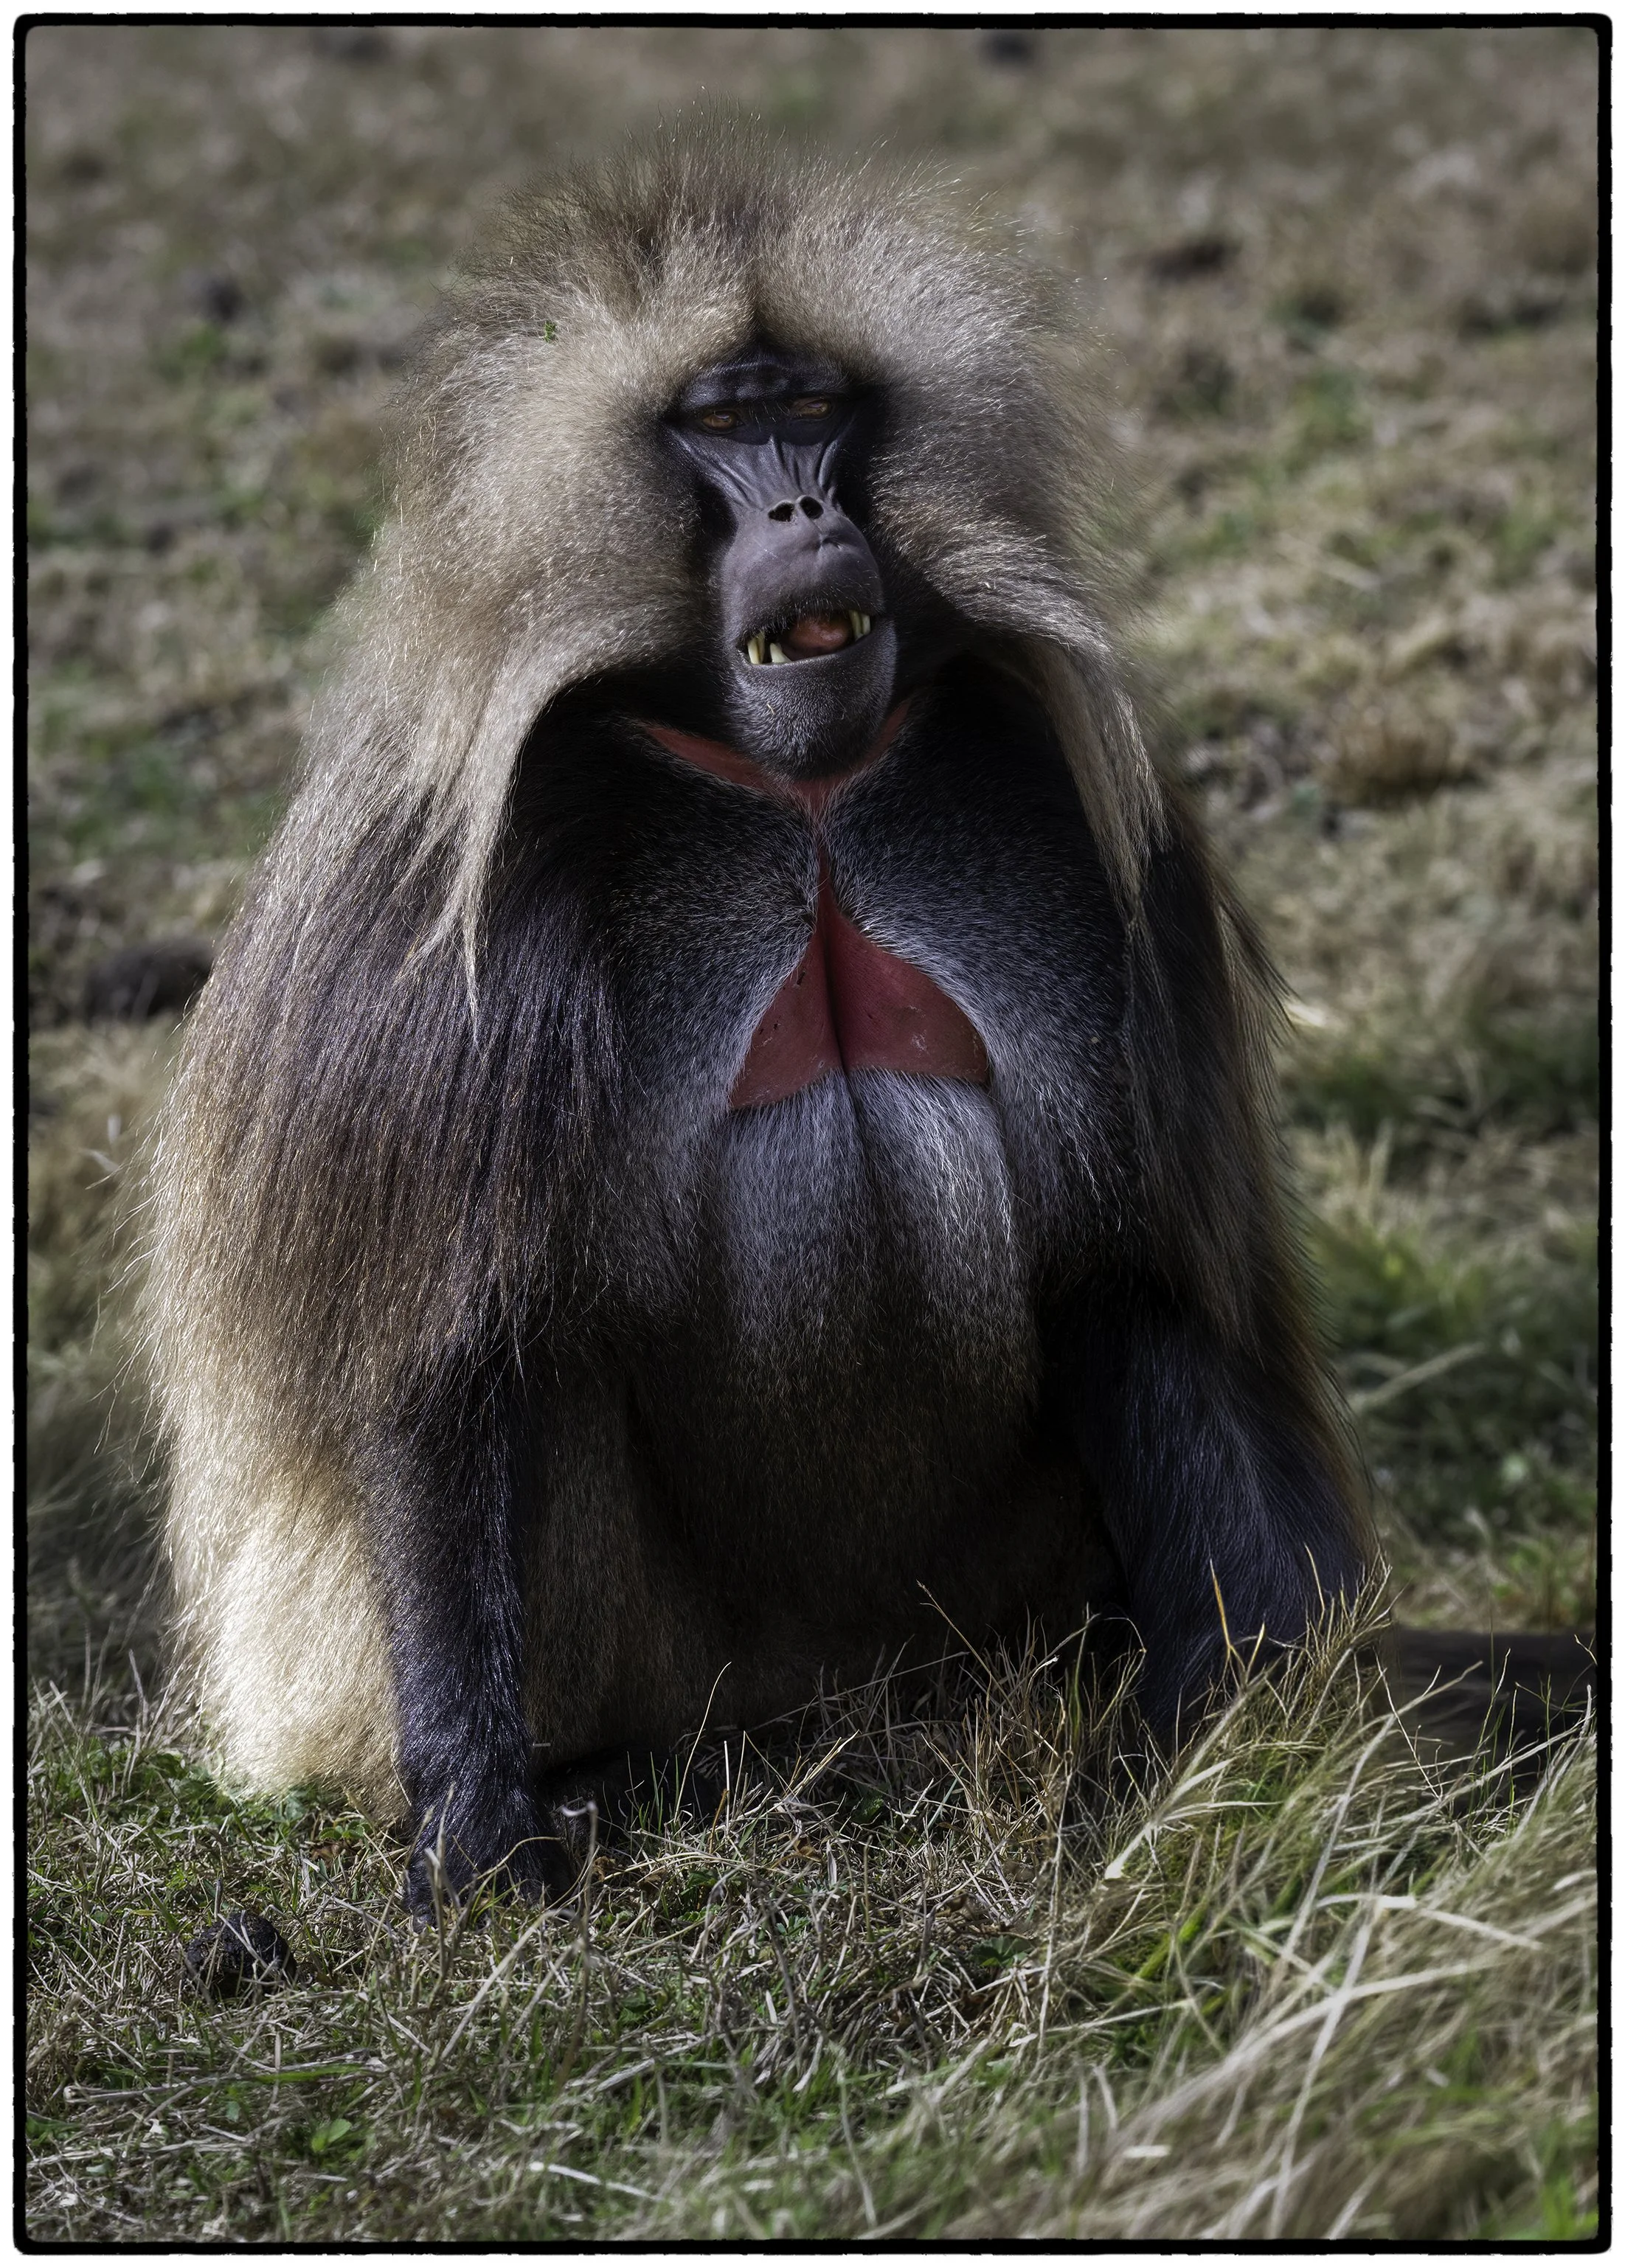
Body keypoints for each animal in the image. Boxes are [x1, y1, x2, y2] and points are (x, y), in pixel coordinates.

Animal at [147, 129, 1397, 1914]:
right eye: (721, 429)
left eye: (814, 408)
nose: (804, 509)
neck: (797, 791)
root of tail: (842, 1701)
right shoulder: (430, 919)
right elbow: (442, 1364)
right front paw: (476, 1816)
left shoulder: (1073, 832)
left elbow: (1126, 1274)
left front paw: (1247, 1725)